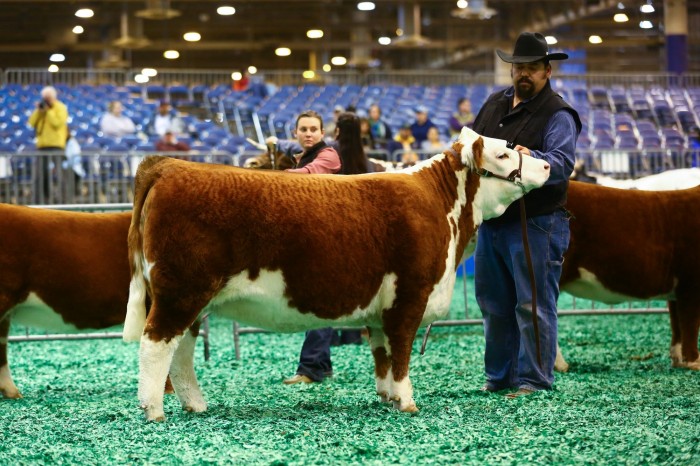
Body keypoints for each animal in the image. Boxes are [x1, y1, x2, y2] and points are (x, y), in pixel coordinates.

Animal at [123, 125, 552, 420]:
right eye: (502, 154)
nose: (548, 164)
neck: (441, 206)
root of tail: (169, 165)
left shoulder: (381, 309)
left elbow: (382, 353)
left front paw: (387, 397)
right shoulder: (409, 295)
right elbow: (401, 350)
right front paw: (408, 402)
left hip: (193, 297)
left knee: (182, 350)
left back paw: (195, 405)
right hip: (181, 290)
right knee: (156, 344)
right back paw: (153, 410)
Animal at [556, 181, 700, 372]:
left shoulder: (677, 290)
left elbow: (678, 326)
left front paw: (679, 361)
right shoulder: (691, 283)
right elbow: (690, 325)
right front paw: (694, 362)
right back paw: (560, 365)